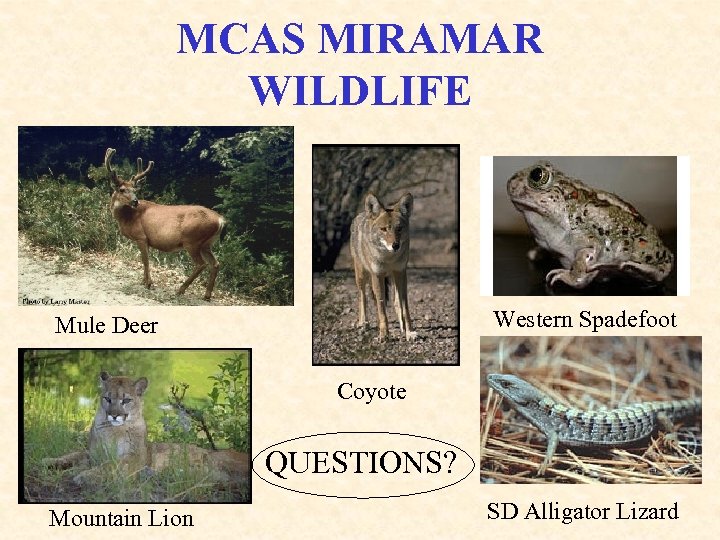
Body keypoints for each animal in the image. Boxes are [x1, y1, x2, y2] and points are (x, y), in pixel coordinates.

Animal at [42, 371, 249, 487]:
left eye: (126, 400)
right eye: (107, 398)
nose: (114, 415)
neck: (113, 430)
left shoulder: (134, 458)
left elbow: (111, 465)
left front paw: (85, 476)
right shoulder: (93, 454)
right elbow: (73, 455)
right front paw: (49, 461)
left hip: (221, 459)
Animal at [105, 147, 225, 301]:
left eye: (134, 190)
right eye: (122, 189)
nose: (135, 201)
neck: (128, 218)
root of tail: (220, 220)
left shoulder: (141, 236)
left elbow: (145, 260)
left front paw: (148, 283)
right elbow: (144, 260)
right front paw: (143, 281)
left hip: (192, 240)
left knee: (201, 264)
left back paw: (180, 290)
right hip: (206, 243)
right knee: (215, 263)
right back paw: (207, 295)